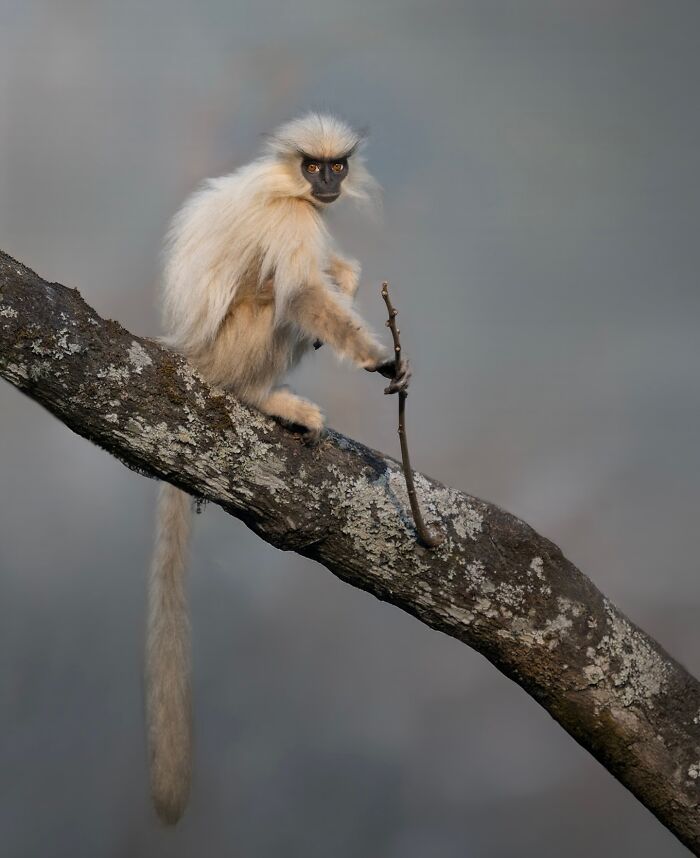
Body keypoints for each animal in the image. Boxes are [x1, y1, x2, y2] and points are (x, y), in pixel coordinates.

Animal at [146, 113, 410, 824]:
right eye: (312, 167)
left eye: (336, 167)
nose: (327, 184)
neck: (287, 187)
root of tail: (190, 356)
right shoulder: (295, 219)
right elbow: (305, 290)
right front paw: (378, 358)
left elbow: (336, 276)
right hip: (235, 347)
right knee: (285, 297)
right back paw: (264, 398)